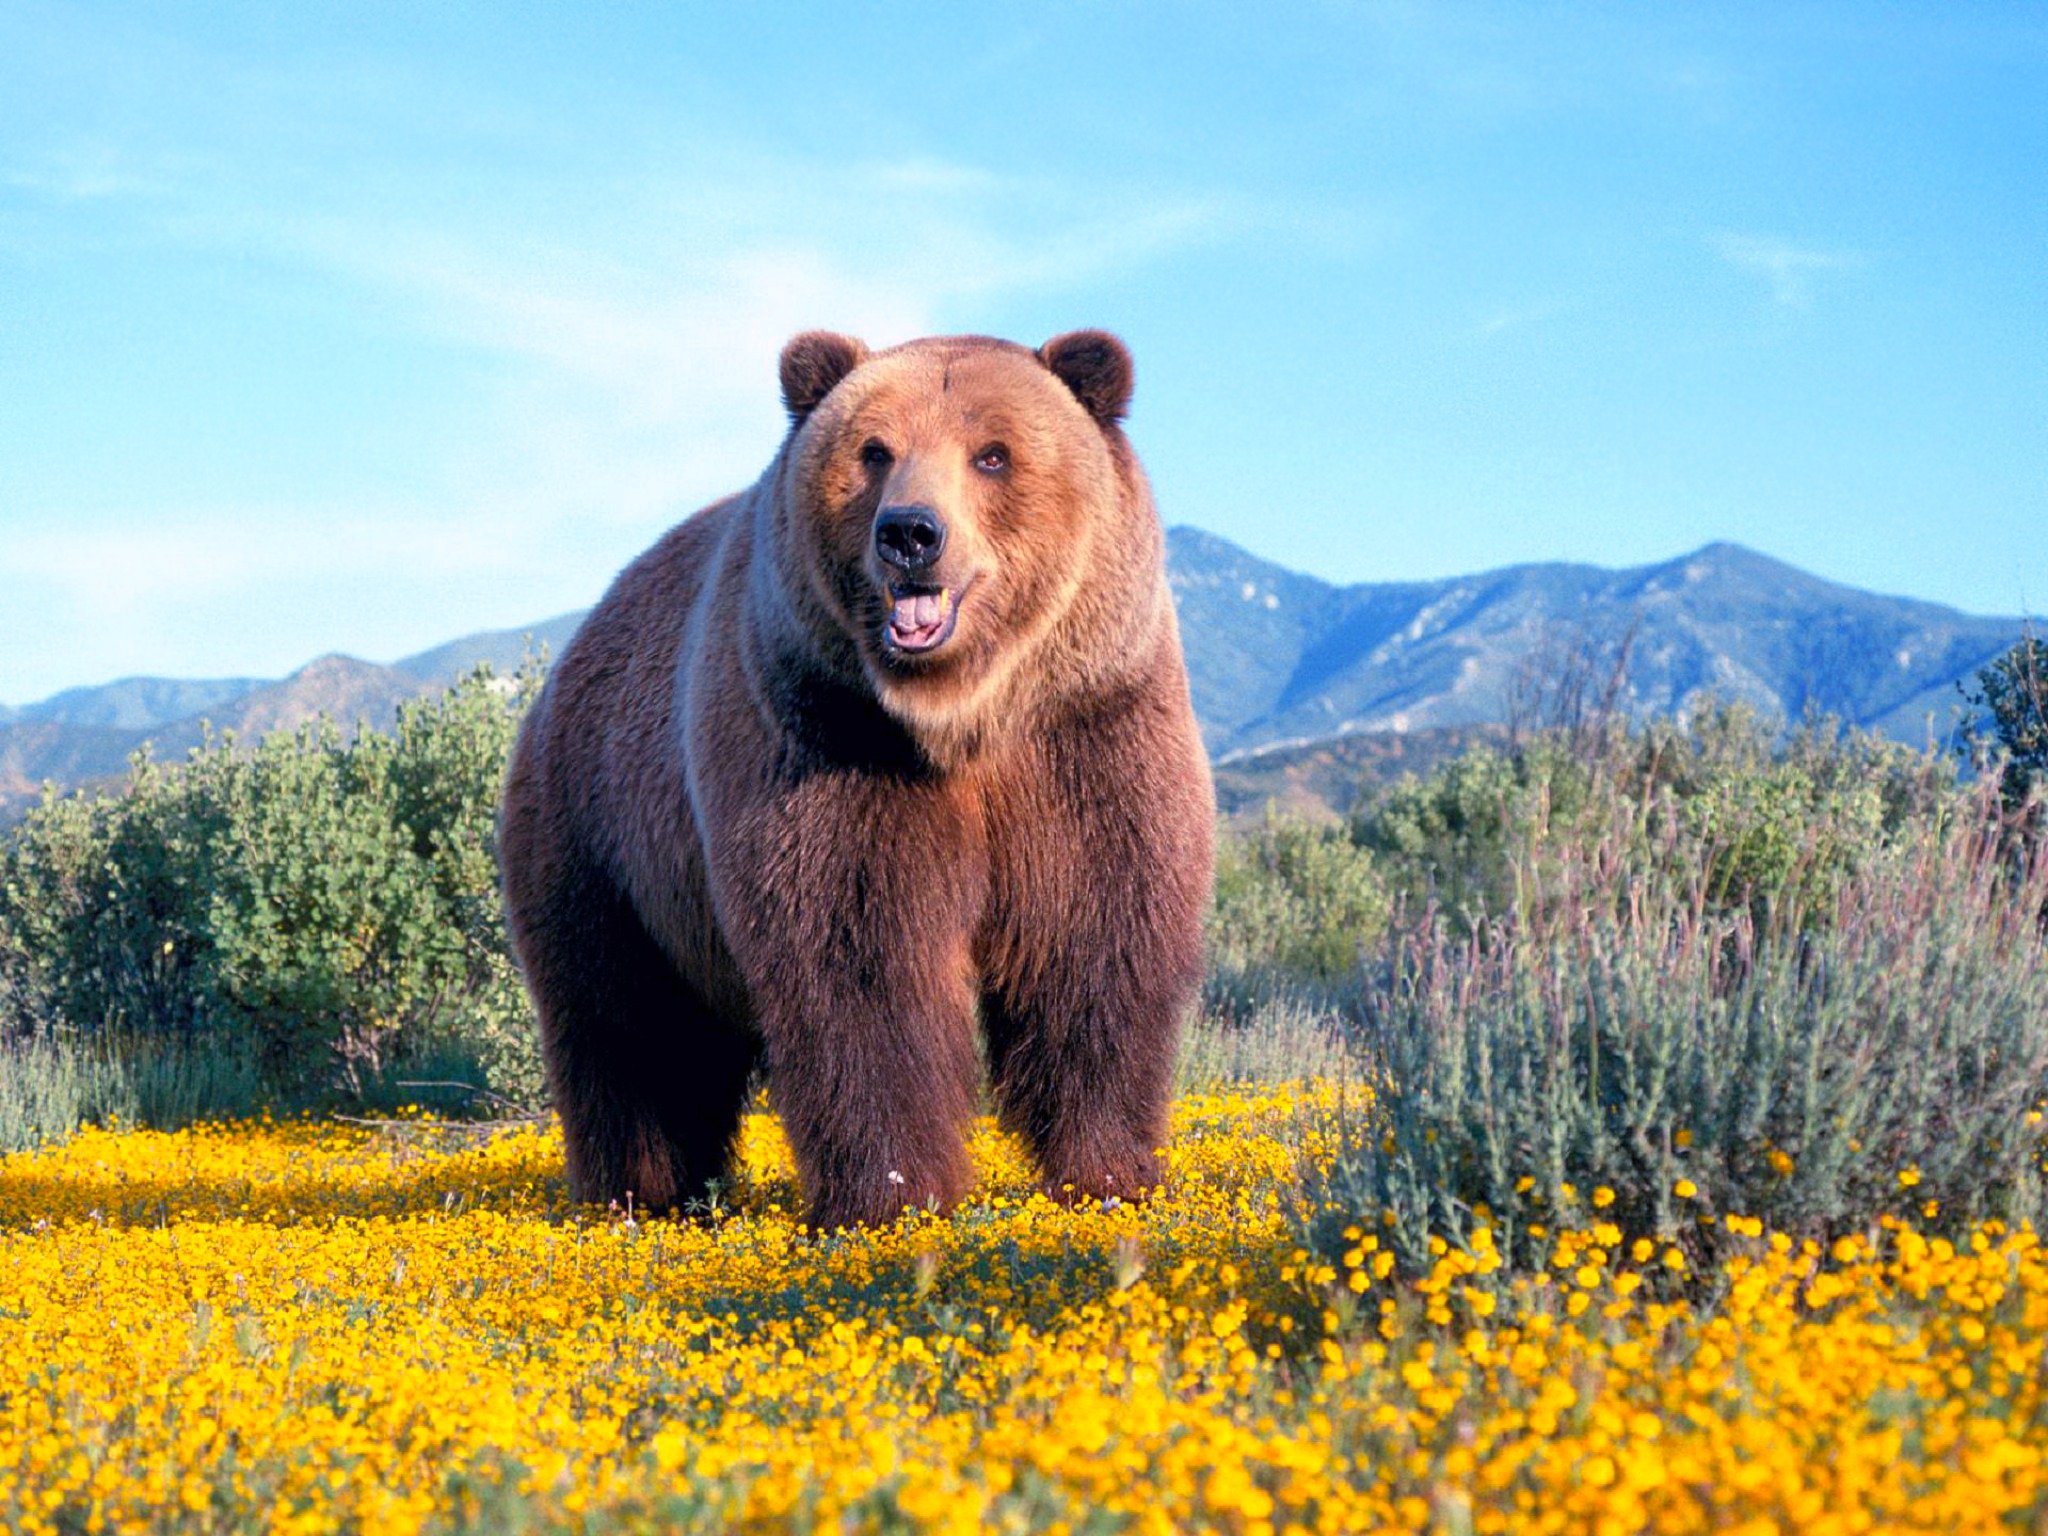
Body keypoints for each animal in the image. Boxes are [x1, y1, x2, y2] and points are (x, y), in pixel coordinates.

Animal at [499, 331, 1212, 1236]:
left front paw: (1109, 1174)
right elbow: (861, 961)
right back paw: (640, 1194)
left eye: (993, 453)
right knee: (627, 1026)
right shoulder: (827, 740)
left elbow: (1094, 942)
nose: (910, 532)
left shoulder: (1086, 734)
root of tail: (568, 657)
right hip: (603, 838)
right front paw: (895, 1195)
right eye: (875, 451)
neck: (962, 716)